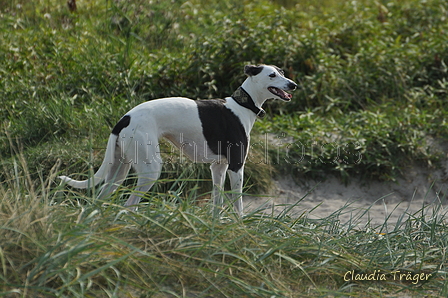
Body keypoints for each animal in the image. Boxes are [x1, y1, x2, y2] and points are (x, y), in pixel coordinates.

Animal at [59, 64, 298, 215]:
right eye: (272, 75)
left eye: (282, 72)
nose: (293, 85)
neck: (242, 105)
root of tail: (125, 118)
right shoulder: (236, 166)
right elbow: (237, 204)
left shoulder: (218, 167)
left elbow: (217, 203)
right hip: (149, 170)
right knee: (130, 204)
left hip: (119, 169)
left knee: (100, 199)